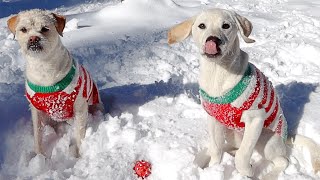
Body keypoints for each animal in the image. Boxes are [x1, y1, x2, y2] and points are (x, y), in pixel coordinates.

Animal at [7, 9, 103, 157]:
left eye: (45, 28)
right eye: (23, 29)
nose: (33, 38)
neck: (44, 67)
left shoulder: (80, 107)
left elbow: (80, 134)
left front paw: (78, 155)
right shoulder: (36, 110)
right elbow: (37, 136)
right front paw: (40, 157)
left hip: (96, 105)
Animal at [168, 8, 320, 177]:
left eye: (226, 25)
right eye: (202, 25)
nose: (213, 40)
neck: (217, 72)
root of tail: (286, 136)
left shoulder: (255, 120)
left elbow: (243, 154)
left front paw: (247, 171)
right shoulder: (214, 119)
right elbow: (216, 149)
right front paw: (214, 169)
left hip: (266, 140)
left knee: (282, 160)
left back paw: (268, 176)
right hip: (230, 133)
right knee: (230, 147)